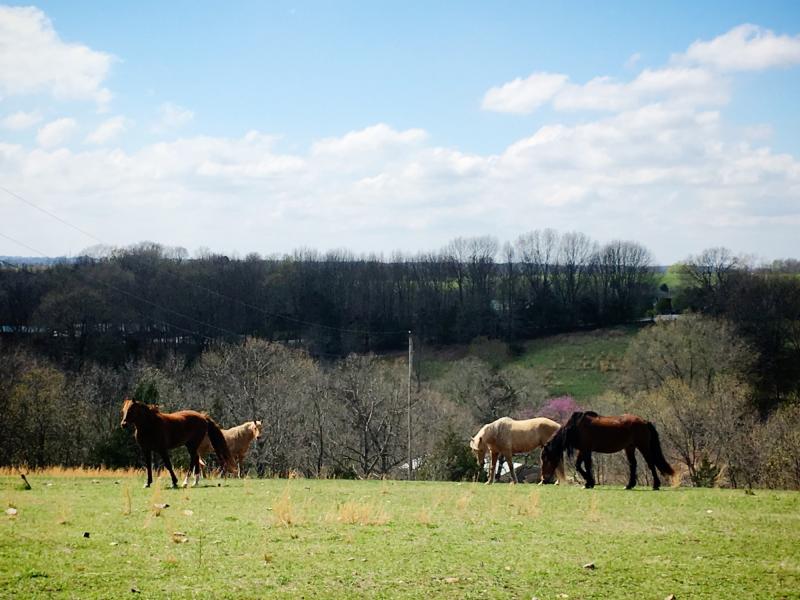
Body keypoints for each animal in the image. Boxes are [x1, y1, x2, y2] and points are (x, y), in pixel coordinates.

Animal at [536, 410, 676, 490]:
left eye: (546, 458)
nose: (544, 478)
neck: (575, 428)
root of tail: (644, 421)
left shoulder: (586, 450)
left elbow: (585, 466)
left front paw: (589, 482)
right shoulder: (583, 450)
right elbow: (579, 465)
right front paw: (589, 482)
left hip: (643, 446)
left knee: (650, 463)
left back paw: (656, 485)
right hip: (629, 447)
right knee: (633, 464)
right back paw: (629, 485)